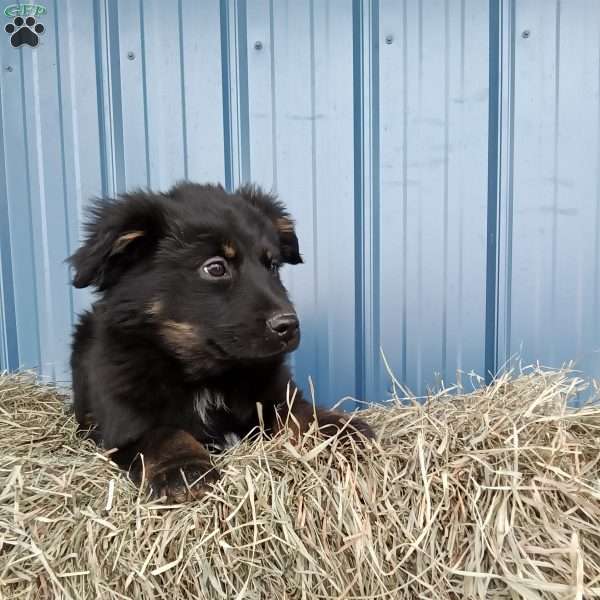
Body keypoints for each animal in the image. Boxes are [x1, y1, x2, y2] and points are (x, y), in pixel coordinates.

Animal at [68, 183, 372, 502]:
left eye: (272, 266)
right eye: (215, 268)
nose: (289, 326)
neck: (208, 377)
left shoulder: (275, 394)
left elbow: (298, 412)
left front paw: (336, 429)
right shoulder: (125, 422)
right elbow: (164, 433)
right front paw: (184, 468)